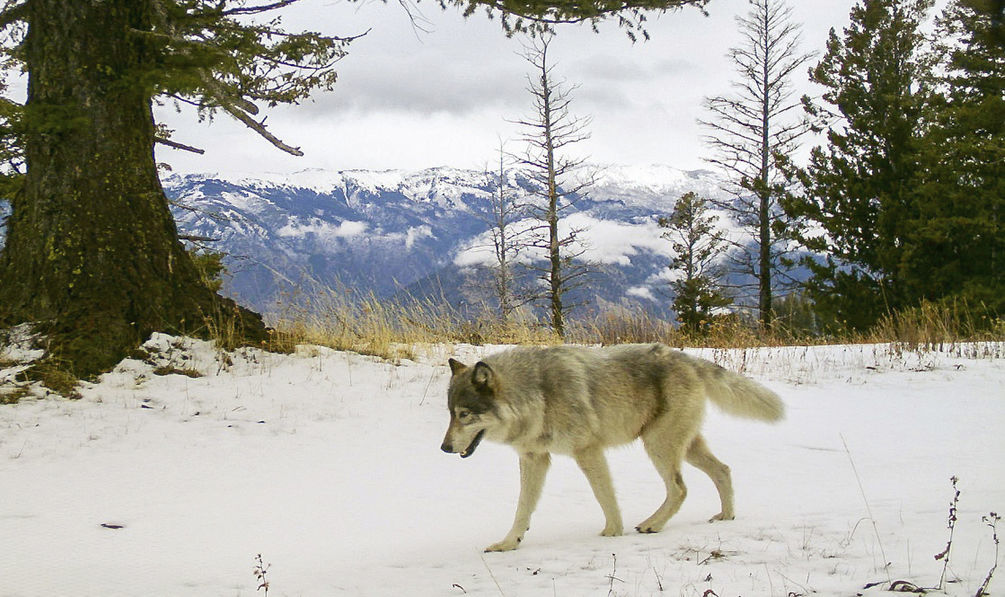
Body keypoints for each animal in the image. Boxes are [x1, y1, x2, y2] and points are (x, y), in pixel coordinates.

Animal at [442, 341, 783, 550]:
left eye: (464, 415)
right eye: (450, 414)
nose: (444, 448)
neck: (537, 394)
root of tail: (687, 358)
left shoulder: (588, 451)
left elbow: (604, 496)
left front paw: (612, 532)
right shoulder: (534, 458)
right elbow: (522, 508)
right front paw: (508, 543)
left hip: (658, 446)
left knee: (680, 488)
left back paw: (652, 525)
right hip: (684, 447)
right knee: (723, 470)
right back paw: (726, 516)